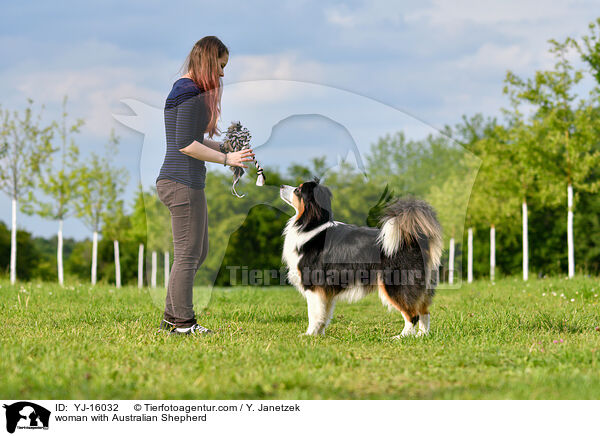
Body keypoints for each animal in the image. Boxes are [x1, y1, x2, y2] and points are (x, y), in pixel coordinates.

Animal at [278, 177, 442, 338]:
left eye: (298, 190)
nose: (281, 185)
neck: (310, 225)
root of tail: (413, 239)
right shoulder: (325, 291)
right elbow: (324, 314)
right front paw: (319, 335)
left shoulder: (313, 284)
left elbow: (313, 313)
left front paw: (309, 335)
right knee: (424, 312)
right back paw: (422, 336)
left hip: (395, 284)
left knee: (412, 314)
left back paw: (401, 337)